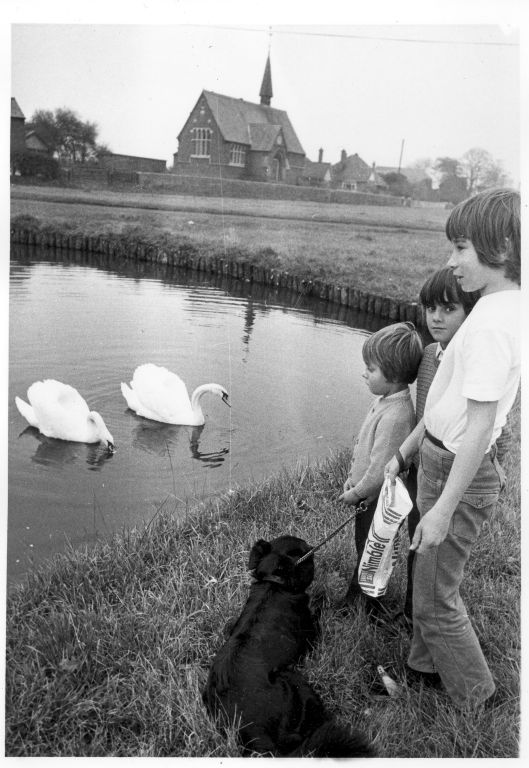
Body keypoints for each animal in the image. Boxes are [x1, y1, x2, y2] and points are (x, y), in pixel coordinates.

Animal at [202, 536, 372, 756]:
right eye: (308, 556)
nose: (313, 547)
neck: (273, 584)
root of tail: (260, 739)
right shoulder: (311, 634)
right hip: (292, 678)